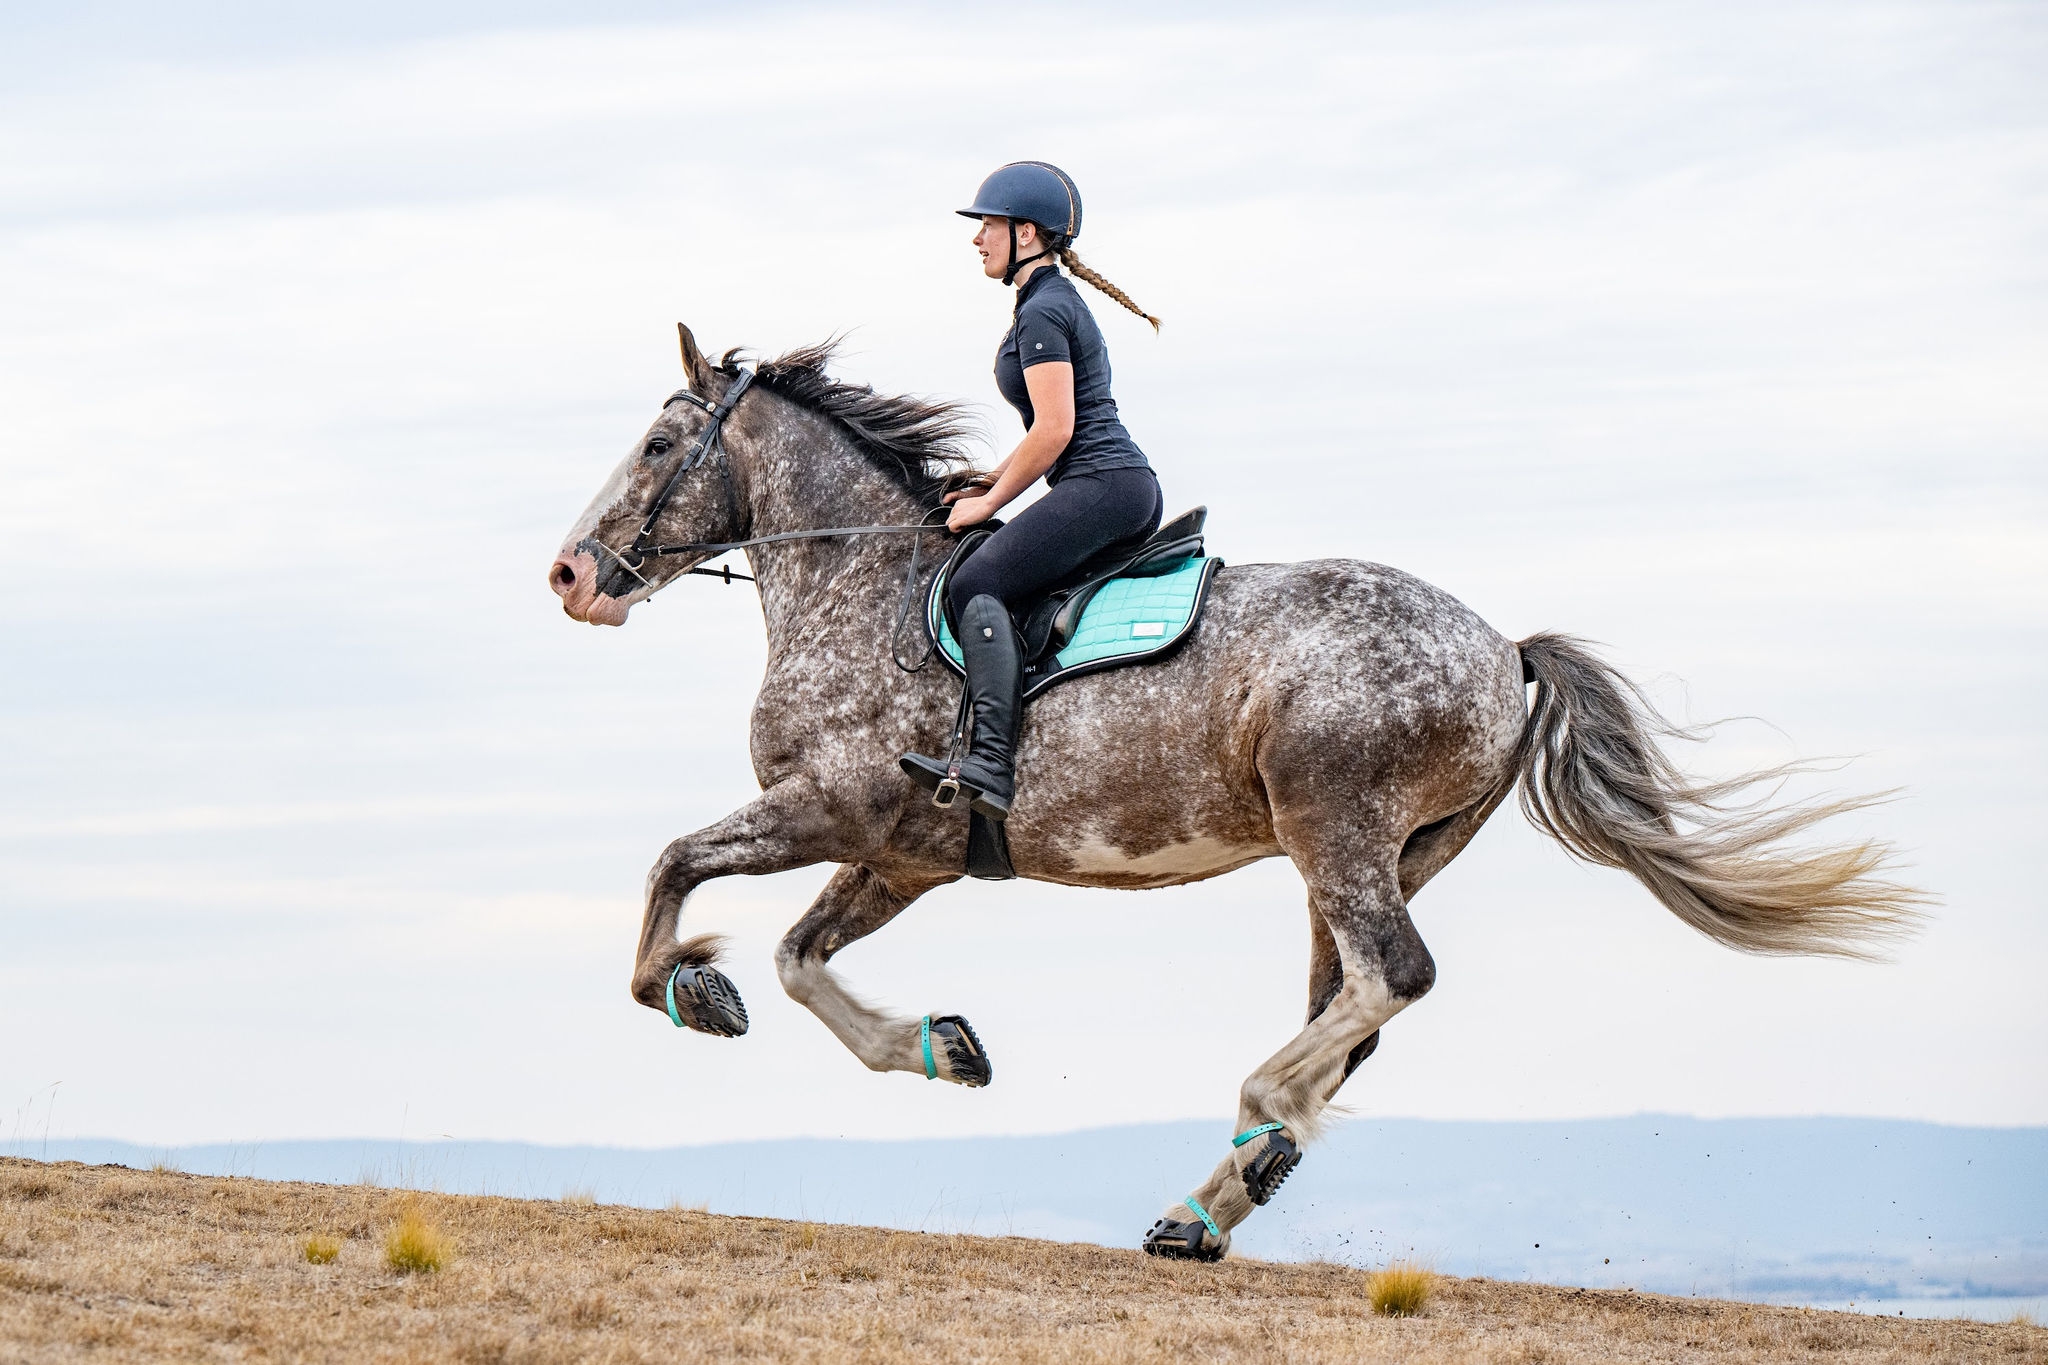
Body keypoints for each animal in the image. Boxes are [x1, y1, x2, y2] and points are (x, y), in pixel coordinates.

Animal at [544, 327, 1916, 1260]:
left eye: (657, 445)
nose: (568, 575)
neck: (859, 586)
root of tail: (1501, 649)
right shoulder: (902, 855)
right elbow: (798, 960)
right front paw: (941, 1046)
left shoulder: (826, 808)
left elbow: (675, 870)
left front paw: (692, 992)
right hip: (1383, 851)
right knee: (1354, 1010)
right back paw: (1209, 1202)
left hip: (1332, 822)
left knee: (1387, 980)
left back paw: (1255, 1127)